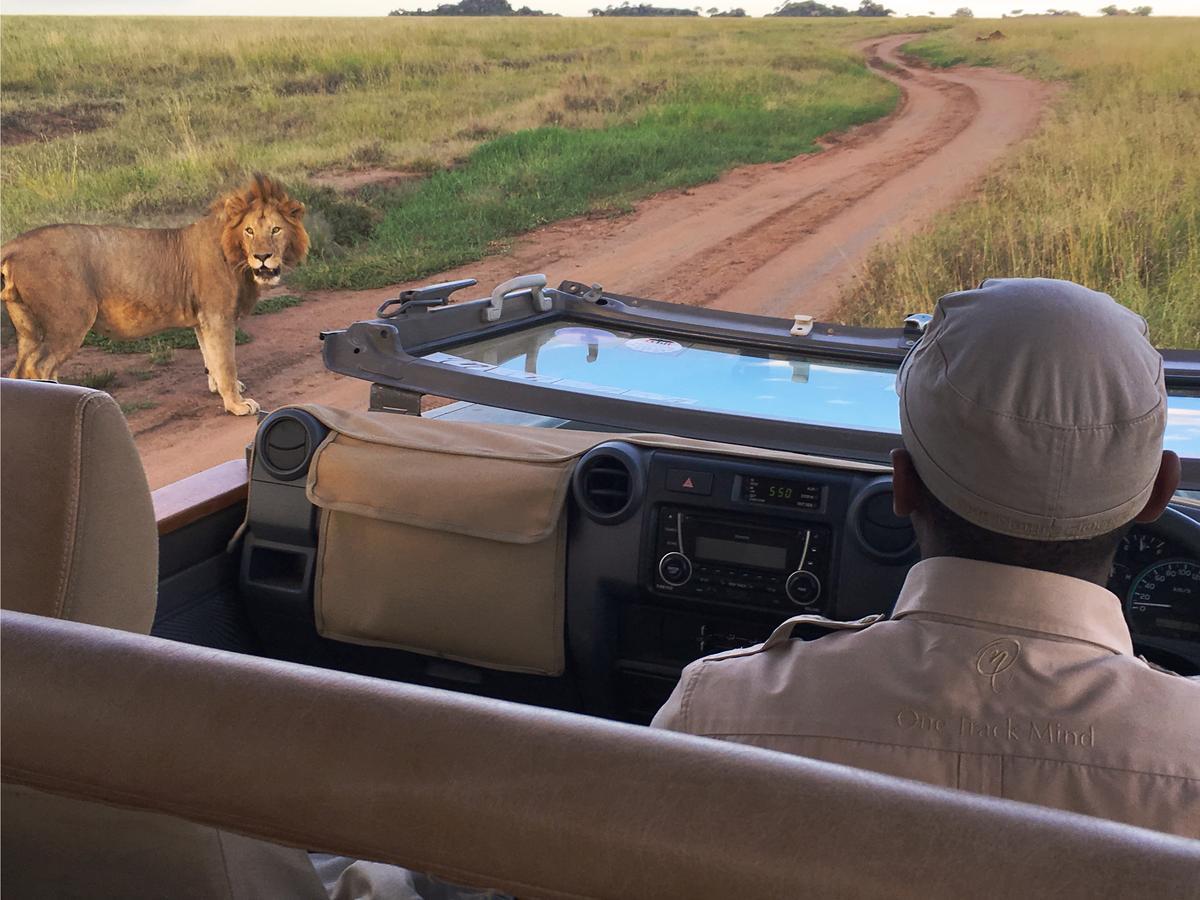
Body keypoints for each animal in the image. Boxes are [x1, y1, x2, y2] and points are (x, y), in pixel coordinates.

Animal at [2, 174, 309, 417]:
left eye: (275, 229)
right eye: (249, 231)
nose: (262, 257)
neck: (235, 254)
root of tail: (15, 244)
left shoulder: (203, 320)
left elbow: (210, 357)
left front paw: (222, 389)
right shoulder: (217, 315)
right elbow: (226, 361)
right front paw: (237, 404)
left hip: (28, 328)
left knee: (19, 371)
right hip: (70, 321)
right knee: (39, 367)